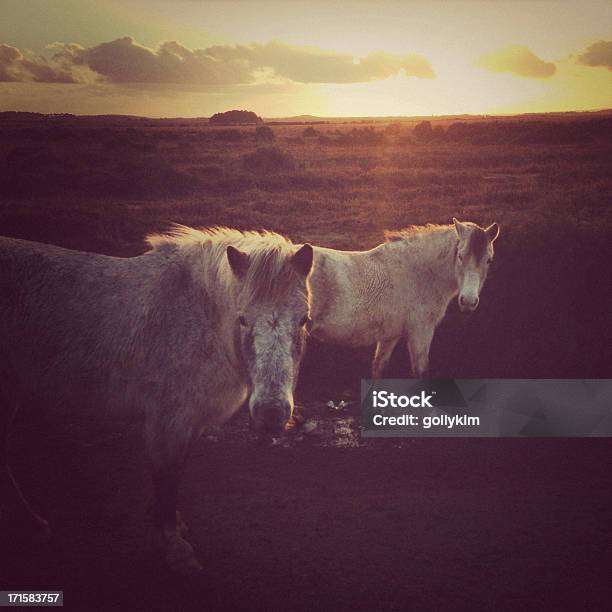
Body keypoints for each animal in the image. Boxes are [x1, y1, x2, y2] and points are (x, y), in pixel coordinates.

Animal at [0, 226, 314, 572]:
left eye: (303, 320)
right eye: (242, 318)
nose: (271, 414)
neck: (196, 317)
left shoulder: (187, 424)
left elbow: (173, 476)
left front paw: (169, 527)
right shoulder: (169, 422)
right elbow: (168, 478)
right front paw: (174, 548)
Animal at [308, 218, 500, 376]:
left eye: (489, 260)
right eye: (460, 256)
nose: (468, 302)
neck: (421, 273)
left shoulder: (390, 336)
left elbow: (379, 367)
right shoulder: (420, 332)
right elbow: (421, 372)